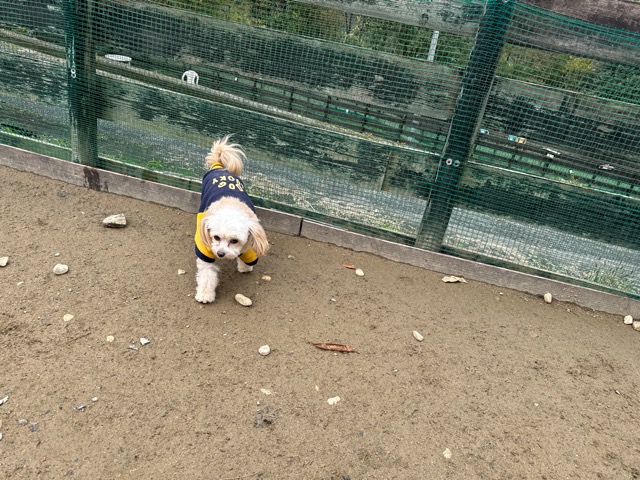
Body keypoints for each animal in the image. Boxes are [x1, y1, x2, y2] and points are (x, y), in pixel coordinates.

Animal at [194, 136, 269, 303]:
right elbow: (207, 274)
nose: (220, 254)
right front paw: (205, 294)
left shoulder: (249, 244)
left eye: (234, 241)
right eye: (216, 237)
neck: (231, 204)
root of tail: (219, 166)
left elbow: (247, 257)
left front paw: (245, 267)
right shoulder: (206, 250)